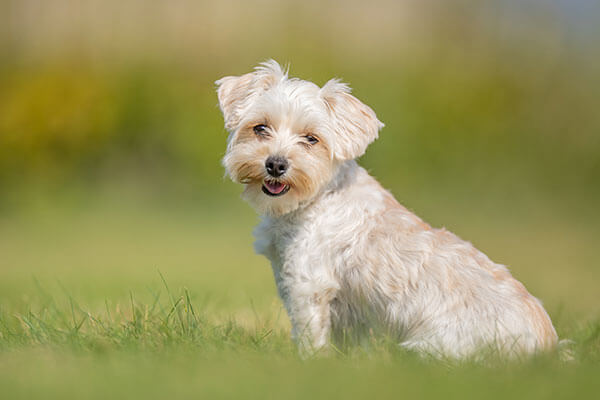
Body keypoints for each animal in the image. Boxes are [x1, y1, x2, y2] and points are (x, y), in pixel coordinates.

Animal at [216, 61, 556, 358]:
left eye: (311, 139)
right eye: (260, 128)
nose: (275, 164)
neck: (318, 199)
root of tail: (546, 350)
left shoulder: (308, 287)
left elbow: (310, 337)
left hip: (428, 349)